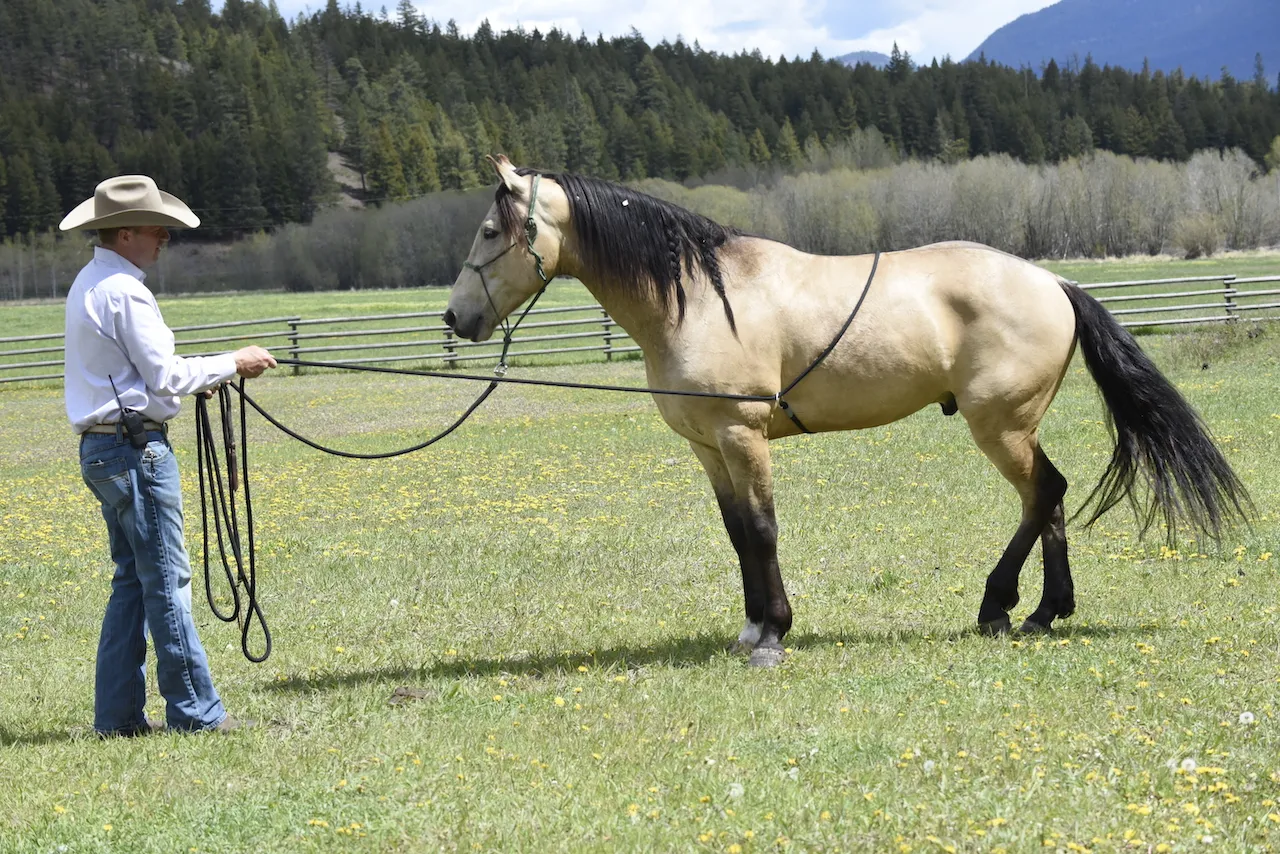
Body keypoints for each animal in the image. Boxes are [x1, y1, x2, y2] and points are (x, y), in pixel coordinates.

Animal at [443, 155, 1250, 667]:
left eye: (490, 232)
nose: (455, 318)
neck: (699, 297)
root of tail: (1054, 282)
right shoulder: (709, 447)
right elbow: (737, 536)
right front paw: (751, 627)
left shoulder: (743, 435)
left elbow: (763, 531)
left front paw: (774, 634)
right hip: (1014, 427)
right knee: (1046, 499)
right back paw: (1044, 610)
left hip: (1001, 427)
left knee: (1044, 492)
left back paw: (1003, 607)